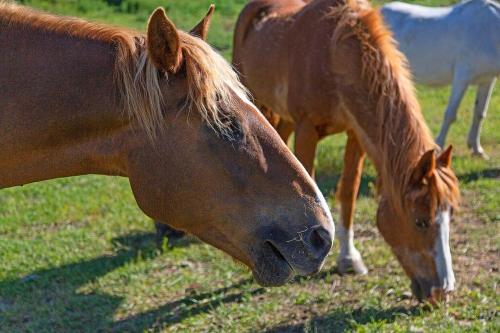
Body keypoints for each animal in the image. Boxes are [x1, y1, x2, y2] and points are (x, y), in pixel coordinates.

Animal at [234, 0, 460, 300]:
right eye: (421, 221)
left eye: (450, 216)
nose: (442, 291)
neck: (333, 55)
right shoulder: (307, 130)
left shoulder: (356, 135)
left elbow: (349, 191)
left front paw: (349, 258)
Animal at [380, 0, 498, 158]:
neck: (489, 30)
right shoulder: (462, 77)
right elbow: (450, 114)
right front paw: (438, 147)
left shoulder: (487, 80)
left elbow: (480, 113)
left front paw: (477, 150)